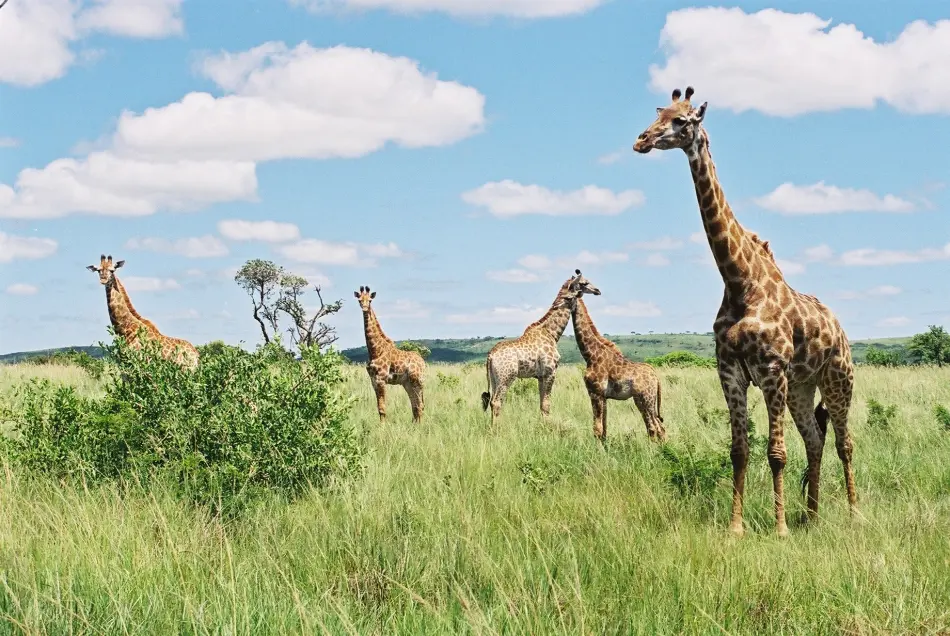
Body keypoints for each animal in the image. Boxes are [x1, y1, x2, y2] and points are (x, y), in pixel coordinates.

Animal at [354, 285, 425, 423]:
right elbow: (379, 408)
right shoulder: (373, 380)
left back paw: (420, 426)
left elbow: (382, 409)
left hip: (417, 381)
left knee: (420, 405)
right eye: (359, 300)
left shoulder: (381, 379)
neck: (375, 351)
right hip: (407, 383)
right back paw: (414, 425)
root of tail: (423, 362)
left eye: (370, 300)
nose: (364, 309)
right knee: (414, 404)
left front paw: (382, 428)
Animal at [480, 271, 586, 426]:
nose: (597, 290)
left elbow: (542, 404)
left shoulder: (540, 376)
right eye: (585, 283)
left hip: (494, 378)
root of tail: (490, 356)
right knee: (497, 402)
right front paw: (547, 427)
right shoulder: (550, 372)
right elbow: (547, 404)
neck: (552, 333)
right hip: (506, 377)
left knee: (492, 401)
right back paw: (497, 429)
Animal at [565, 270, 666, 443]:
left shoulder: (595, 393)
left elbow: (597, 430)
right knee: (659, 427)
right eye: (584, 282)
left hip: (644, 398)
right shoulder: (604, 396)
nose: (597, 291)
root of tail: (656, 377)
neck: (590, 354)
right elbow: (604, 430)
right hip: (648, 400)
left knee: (655, 427)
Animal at [632, 86, 857, 536]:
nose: (641, 140)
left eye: (682, 121)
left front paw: (779, 528)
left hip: (837, 379)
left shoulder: (770, 370)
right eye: (659, 113)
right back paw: (812, 516)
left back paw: (855, 514)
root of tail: (840, 329)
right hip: (802, 387)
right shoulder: (730, 371)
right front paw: (737, 527)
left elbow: (776, 453)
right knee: (815, 440)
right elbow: (739, 450)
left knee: (844, 443)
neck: (740, 283)